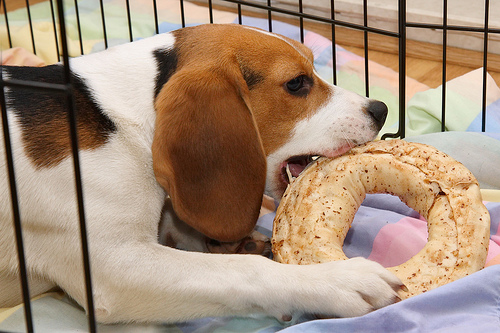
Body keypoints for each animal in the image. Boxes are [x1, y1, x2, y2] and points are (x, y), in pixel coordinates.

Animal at [0, 24, 402, 322]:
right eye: (296, 83)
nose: (381, 110)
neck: (124, 114)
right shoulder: (112, 267)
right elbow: (247, 271)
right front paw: (336, 281)